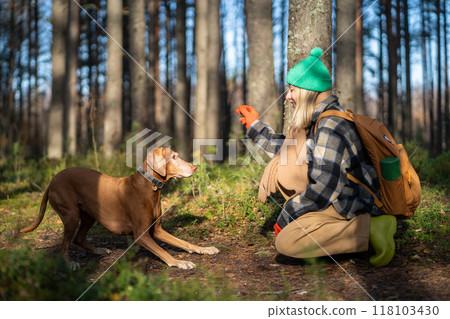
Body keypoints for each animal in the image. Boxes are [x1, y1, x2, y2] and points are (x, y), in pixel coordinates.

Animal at [20, 148, 219, 270]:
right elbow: (164, 252)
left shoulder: (157, 230)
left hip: (89, 215)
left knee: (78, 238)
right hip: (71, 216)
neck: (150, 187)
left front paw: (205, 249)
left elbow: (185, 243)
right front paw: (180, 262)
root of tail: (52, 180)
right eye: (174, 157)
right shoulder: (141, 234)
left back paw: (99, 251)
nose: (195, 167)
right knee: (64, 246)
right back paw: (71, 263)